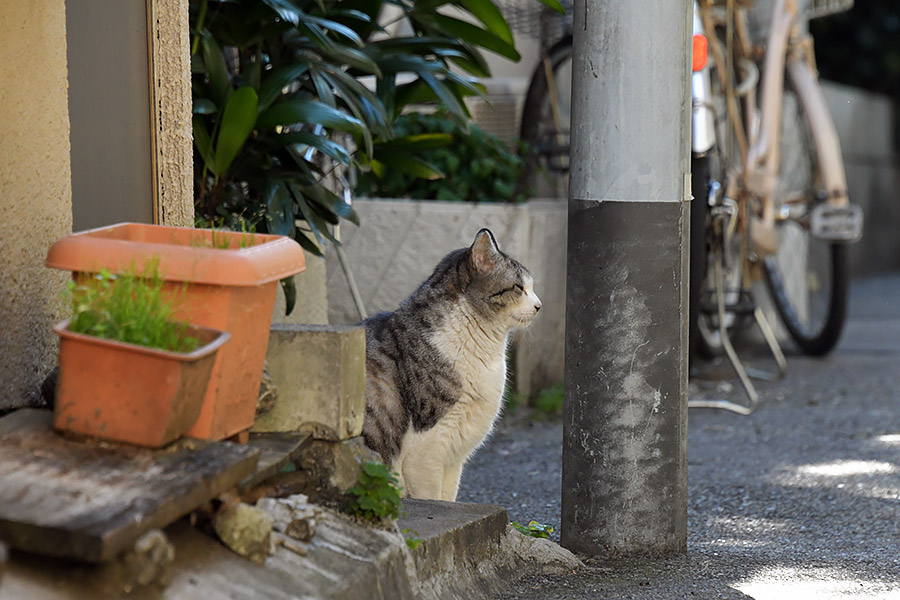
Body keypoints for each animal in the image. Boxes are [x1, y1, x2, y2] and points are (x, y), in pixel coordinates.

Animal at [360, 227, 540, 500]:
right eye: (519, 288)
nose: (540, 305)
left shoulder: (454, 458)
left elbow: (449, 498)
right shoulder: (426, 453)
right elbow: (432, 499)